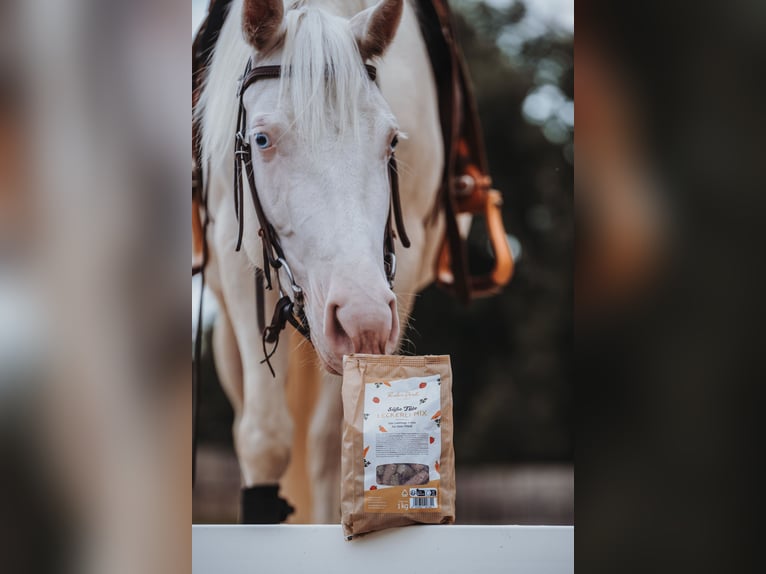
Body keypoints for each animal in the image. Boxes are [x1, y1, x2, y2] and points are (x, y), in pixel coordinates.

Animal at [197, 0, 444, 523]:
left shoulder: (399, 279)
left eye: (393, 142)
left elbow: (336, 443)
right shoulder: (237, 260)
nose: (361, 321)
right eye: (261, 140)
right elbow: (265, 439)